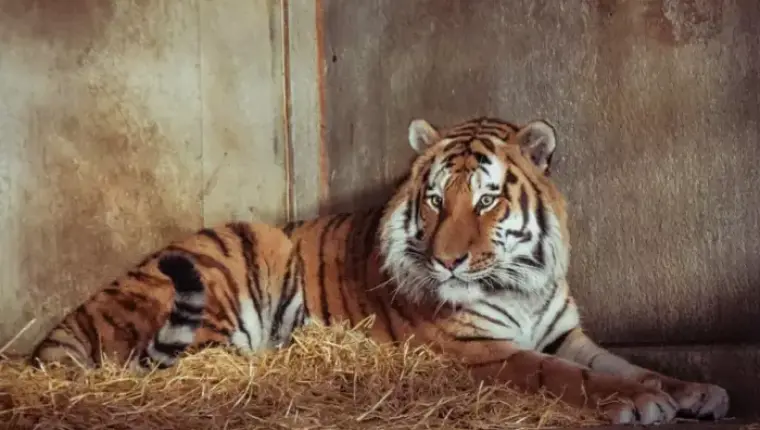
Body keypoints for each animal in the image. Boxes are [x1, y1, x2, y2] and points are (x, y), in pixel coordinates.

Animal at [29, 116, 729, 425]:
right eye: (435, 199)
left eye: (487, 200)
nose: (448, 259)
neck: (521, 285)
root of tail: (70, 320)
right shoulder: (483, 351)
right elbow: (564, 377)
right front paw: (642, 404)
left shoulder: (567, 334)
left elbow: (627, 364)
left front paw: (693, 390)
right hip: (228, 268)